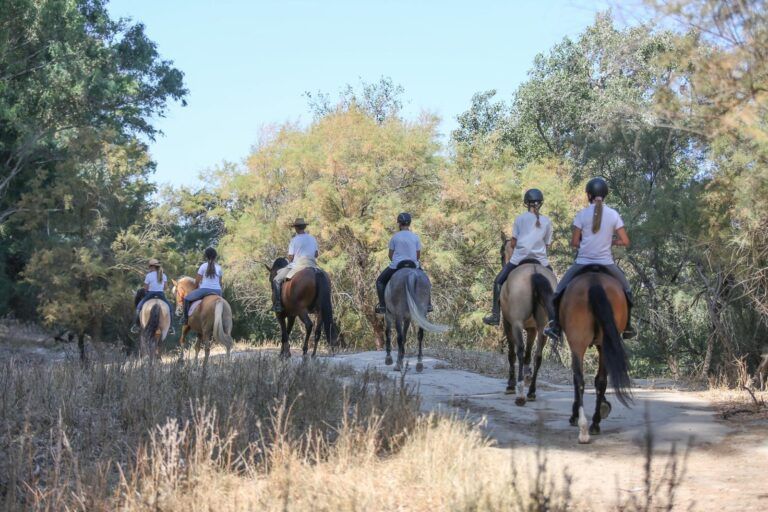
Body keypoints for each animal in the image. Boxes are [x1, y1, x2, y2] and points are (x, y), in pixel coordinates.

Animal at [560, 269, 632, 444]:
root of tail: (594, 282)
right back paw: (594, 424)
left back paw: (583, 428)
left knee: (579, 380)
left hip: (577, 343)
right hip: (605, 343)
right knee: (600, 381)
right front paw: (604, 406)